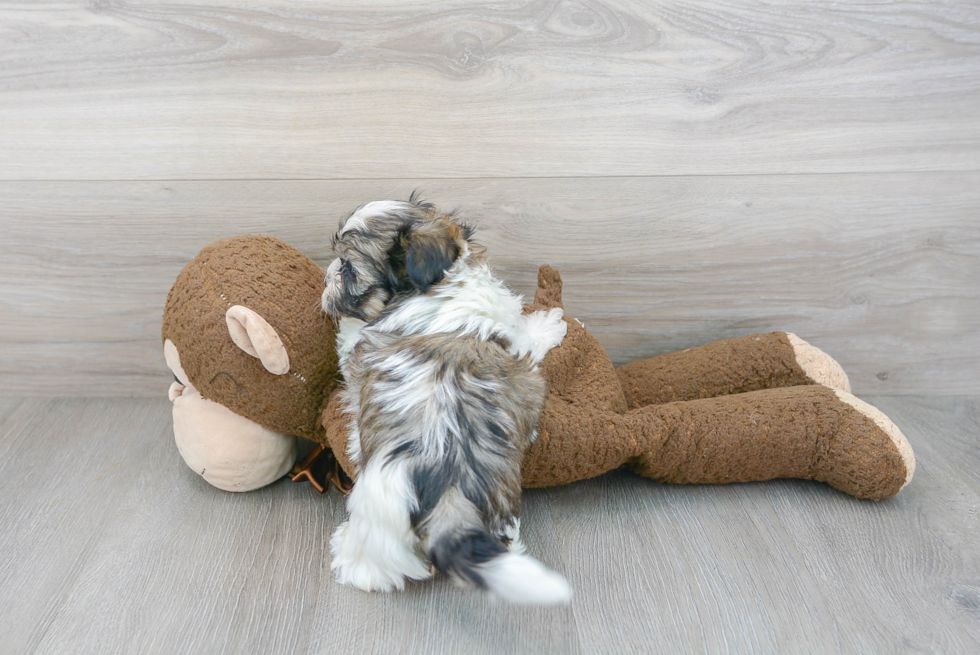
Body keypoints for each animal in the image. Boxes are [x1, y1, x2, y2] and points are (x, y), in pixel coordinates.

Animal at [322, 196, 572, 604]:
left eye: (347, 268)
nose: (326, 275)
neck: (438, 285)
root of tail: (449, 487)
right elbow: (525, 337)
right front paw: (548, 323)